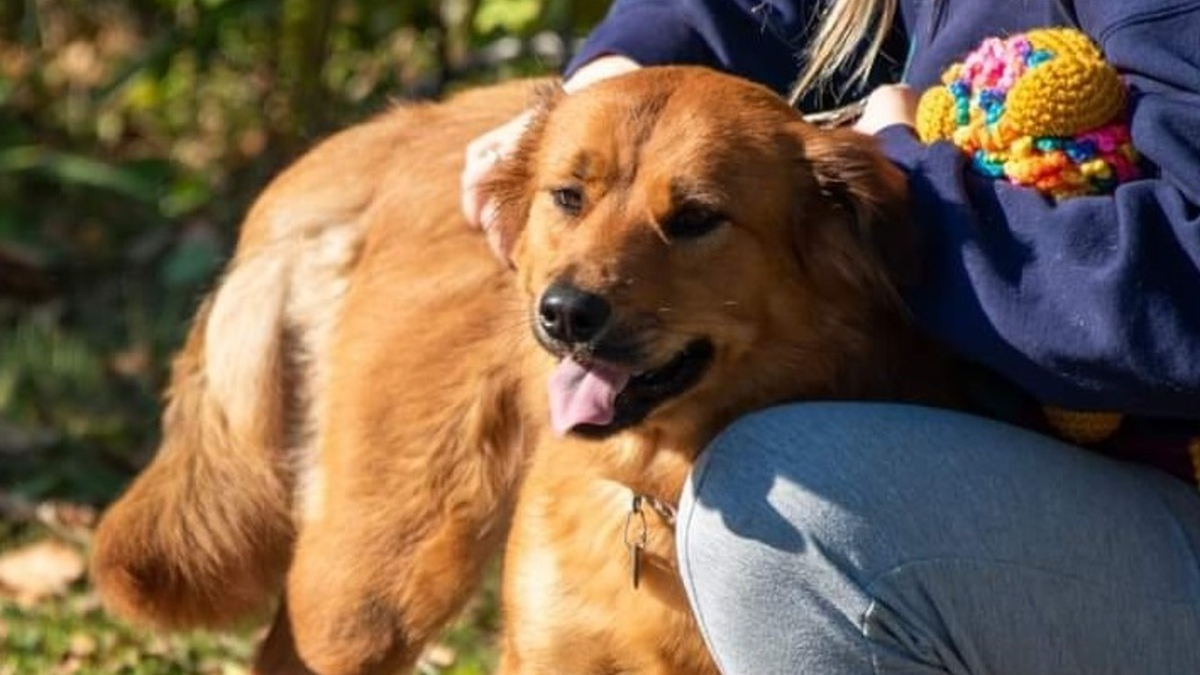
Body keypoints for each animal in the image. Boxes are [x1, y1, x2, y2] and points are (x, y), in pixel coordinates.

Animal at [88, 64, 950, 672]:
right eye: (568, 195)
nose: (564, 313)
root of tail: (402, 130)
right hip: (373, 584)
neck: (658, 488)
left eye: (697, 218)